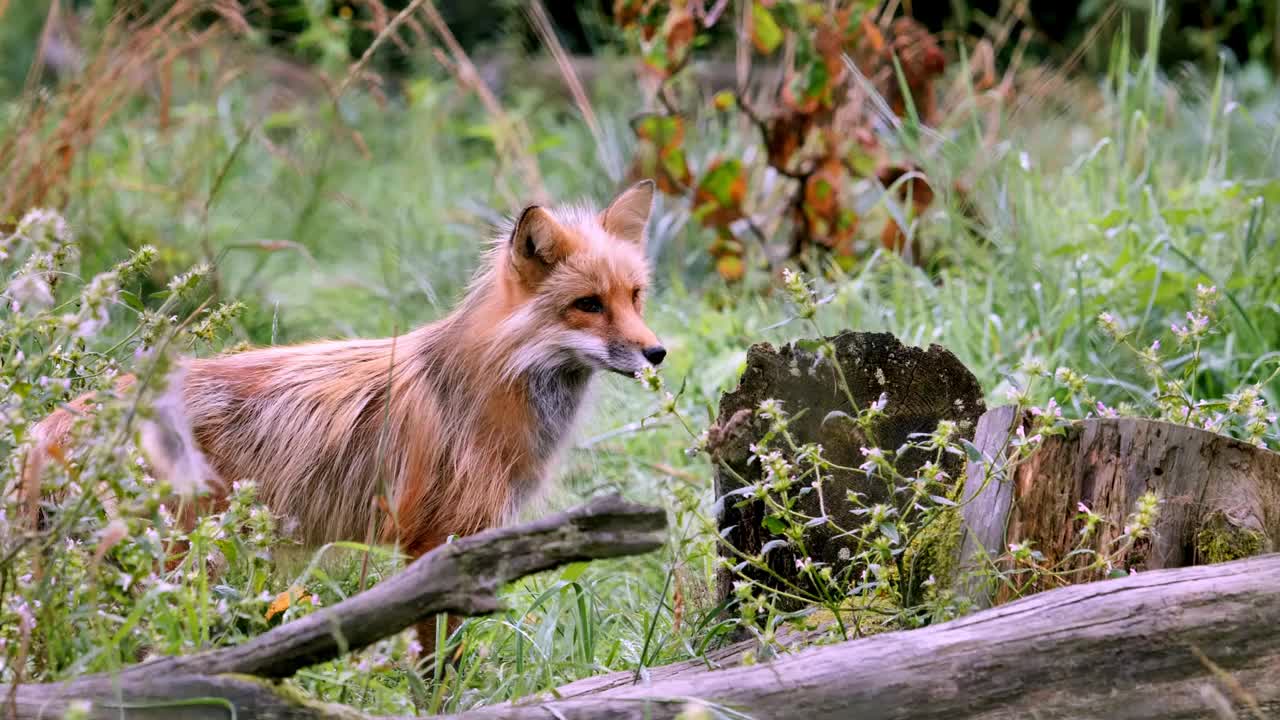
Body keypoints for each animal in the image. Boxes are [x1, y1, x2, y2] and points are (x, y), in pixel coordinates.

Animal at [22, 180, 670, 650]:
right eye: (588, 305)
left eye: (635, 297)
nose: (657, 353)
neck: (487, 386)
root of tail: (54, 419)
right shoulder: (440, 548)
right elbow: (437, 663)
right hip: (175, 558)